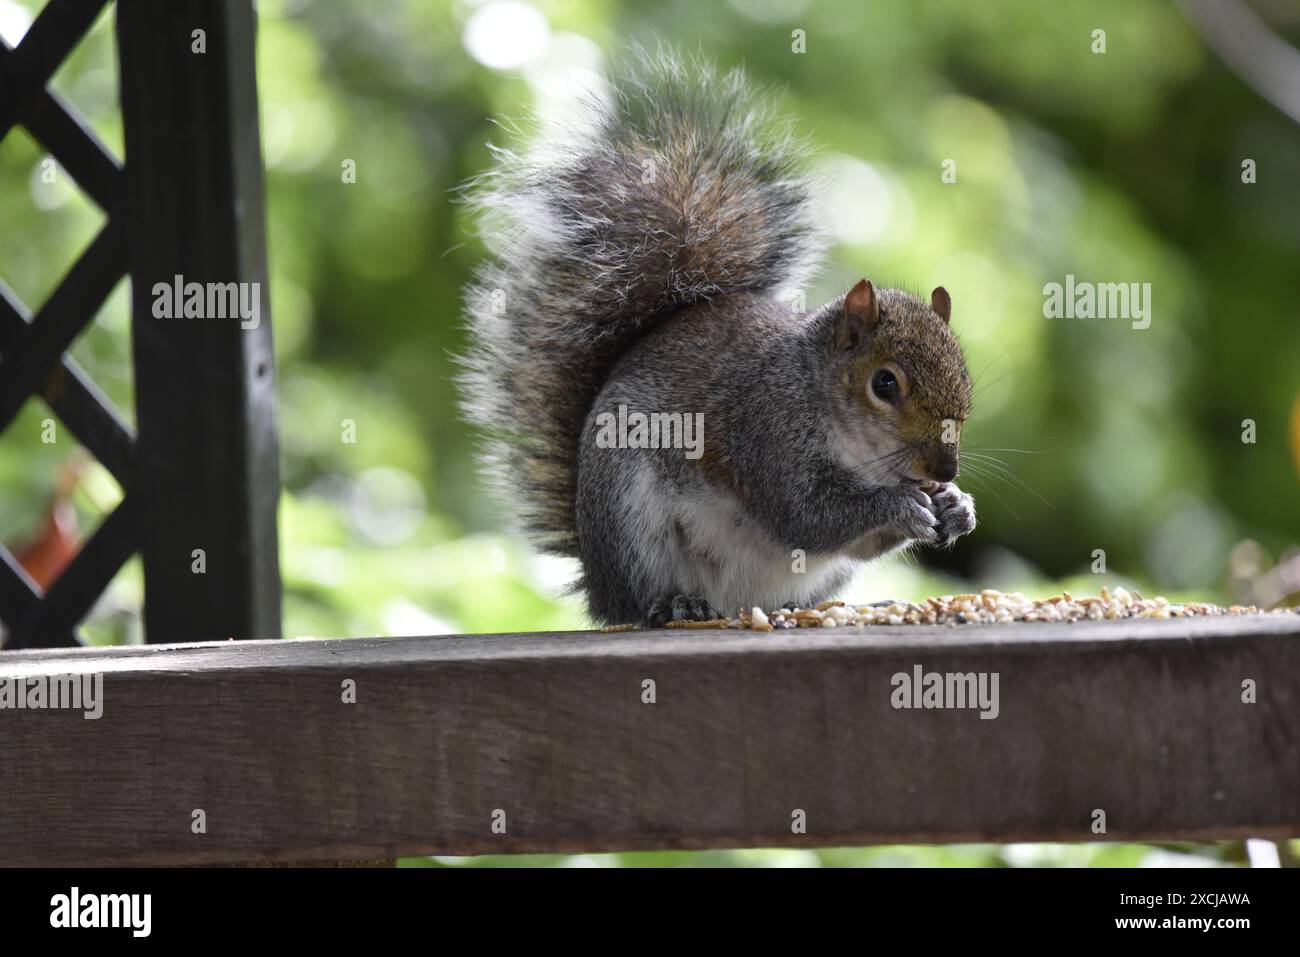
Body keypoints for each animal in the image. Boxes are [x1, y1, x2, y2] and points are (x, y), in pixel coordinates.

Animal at [460, 50, 977, 629]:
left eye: (966, 382)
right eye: (884, 384)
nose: (945, 469)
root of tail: (597, 585)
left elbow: (853, 540)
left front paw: (957, 506)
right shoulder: (767, 431)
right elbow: (807, 515)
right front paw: (898, 505)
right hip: (628, 511)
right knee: (641, 597)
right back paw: (673, 604)